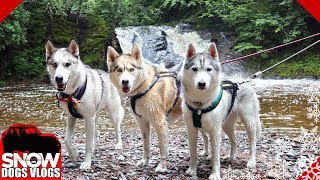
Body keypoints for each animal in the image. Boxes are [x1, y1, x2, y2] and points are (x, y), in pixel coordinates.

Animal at [45, 38, 124, 169]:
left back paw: (118, 144)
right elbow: (66, 139)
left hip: (112, 112)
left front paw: (86, 163)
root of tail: (107, 74)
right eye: (54, 64)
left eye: (67, 64)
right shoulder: (71, 117)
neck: (73, 91)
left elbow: (88, 144)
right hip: (95, 116)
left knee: (117, 128)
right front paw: (73, 155)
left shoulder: (88, 118)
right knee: (96, 133)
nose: (58, 78)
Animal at [181, 43, 262, 179]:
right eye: (194, 69)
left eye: (208, 69)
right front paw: (192, 170)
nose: (201, 83)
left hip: (249, 121)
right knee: (234, 141)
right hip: (226, 125)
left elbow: (215, 156)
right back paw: (230, 157)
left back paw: (251, 161)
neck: (200, 105)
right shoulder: (191, 129)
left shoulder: (215, 131)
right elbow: (193, 153)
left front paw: (215, 174)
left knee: (253, 142)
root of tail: (243, 80)